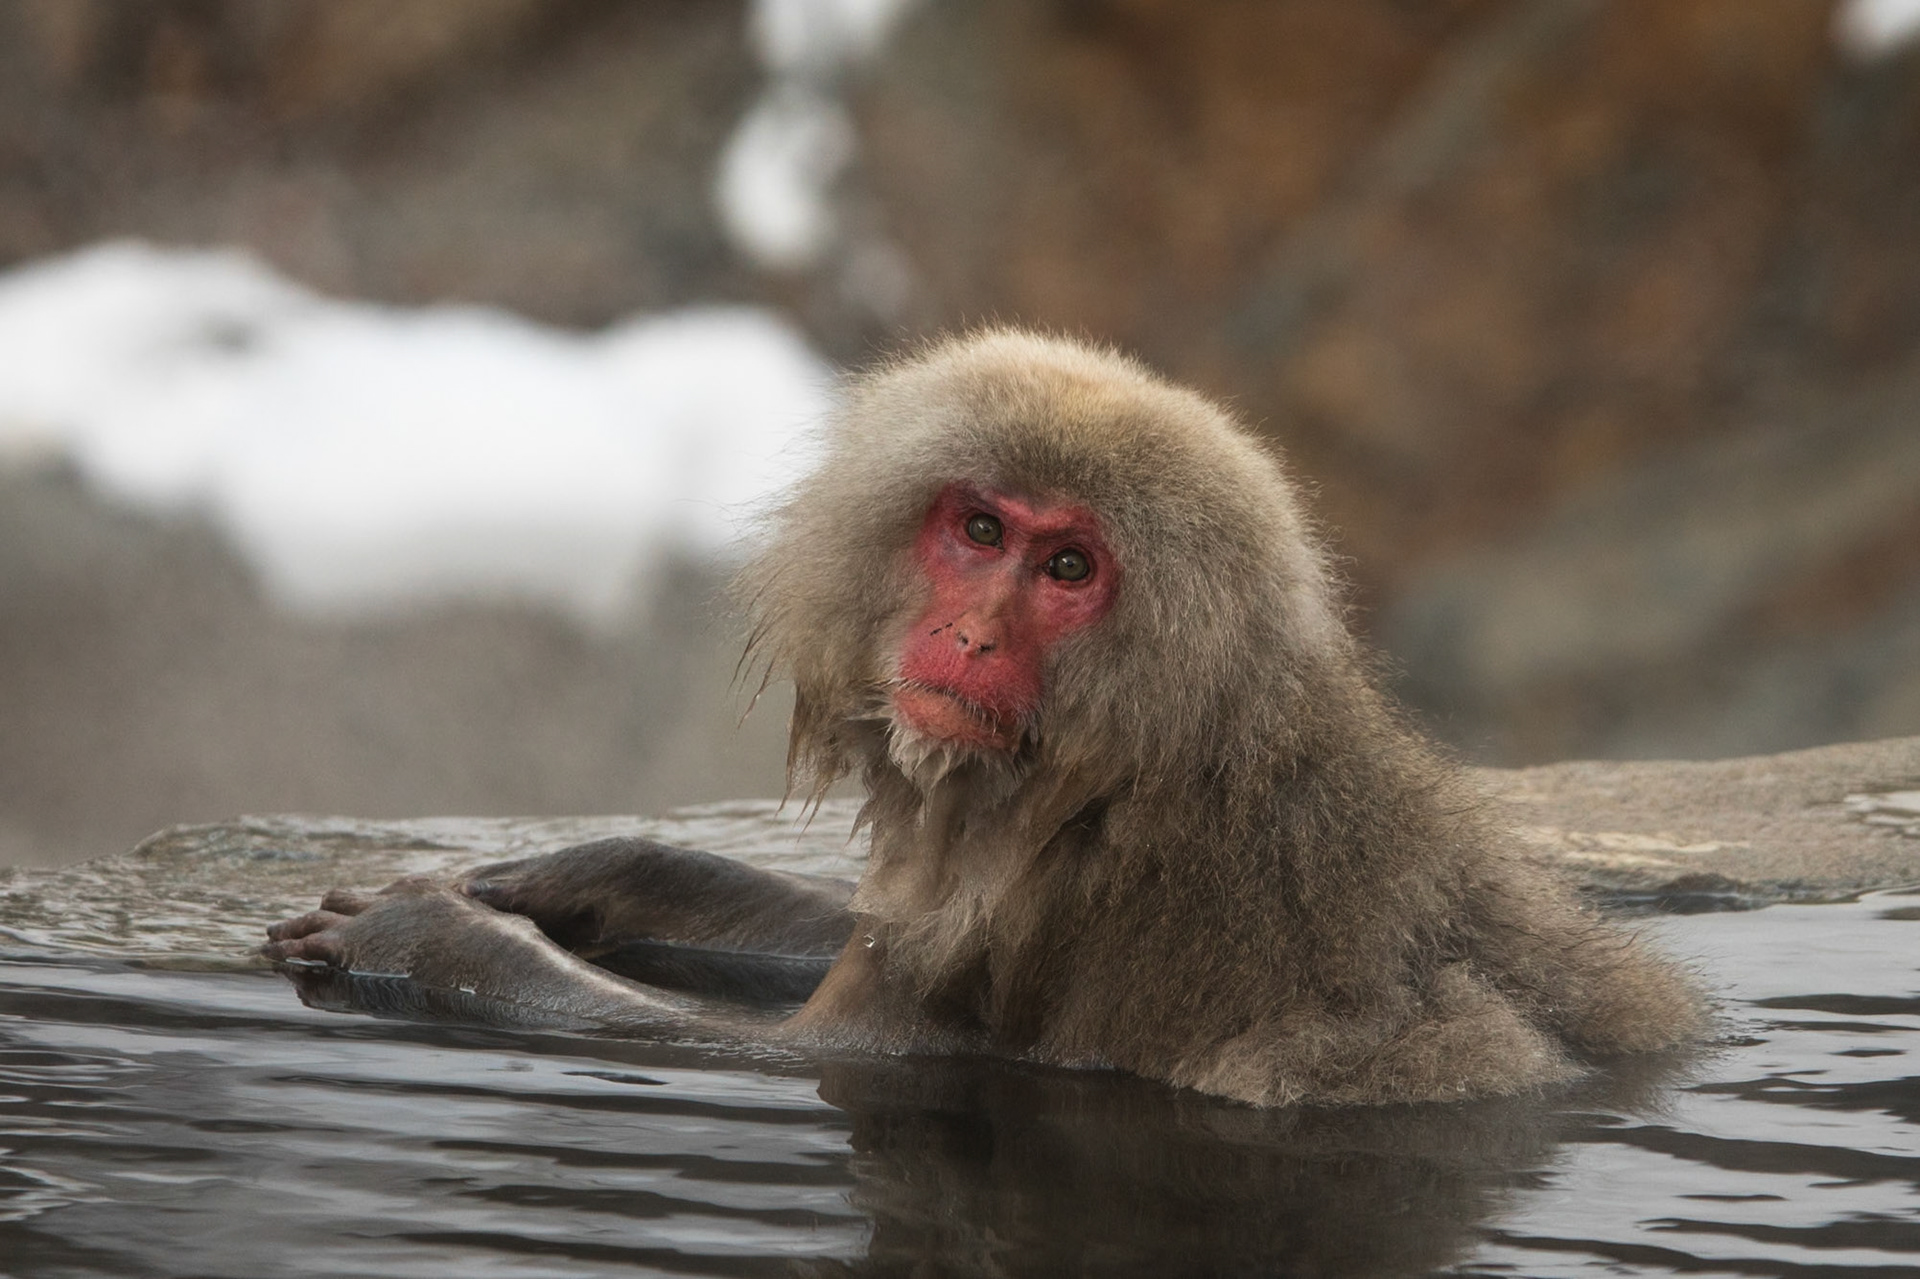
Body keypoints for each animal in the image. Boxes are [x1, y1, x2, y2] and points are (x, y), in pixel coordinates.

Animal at [264, 329, 1703, 1106]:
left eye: (1069, 568)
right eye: (979, 530)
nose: (970, 636)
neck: (1117, 771)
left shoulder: (1071, 907)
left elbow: (829, 1048)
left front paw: (437, 933)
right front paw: (589, 869)